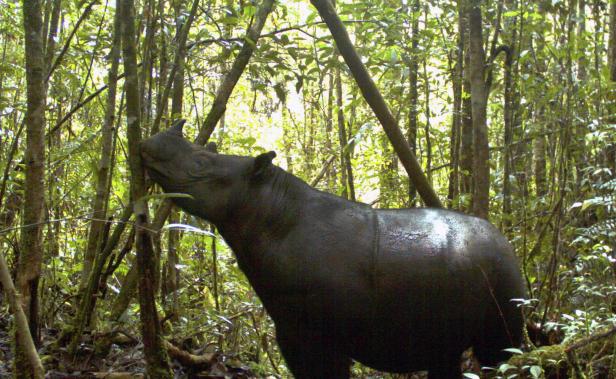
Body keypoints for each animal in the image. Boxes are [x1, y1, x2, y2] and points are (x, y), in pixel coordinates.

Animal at [142, 121, 528, 379]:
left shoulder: (319, 333)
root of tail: (507, 241)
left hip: (503, 277)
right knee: (445, 356)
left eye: (199, 166)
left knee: (497, 352)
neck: (264, 206)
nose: (150, 142)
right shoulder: (293, 325)